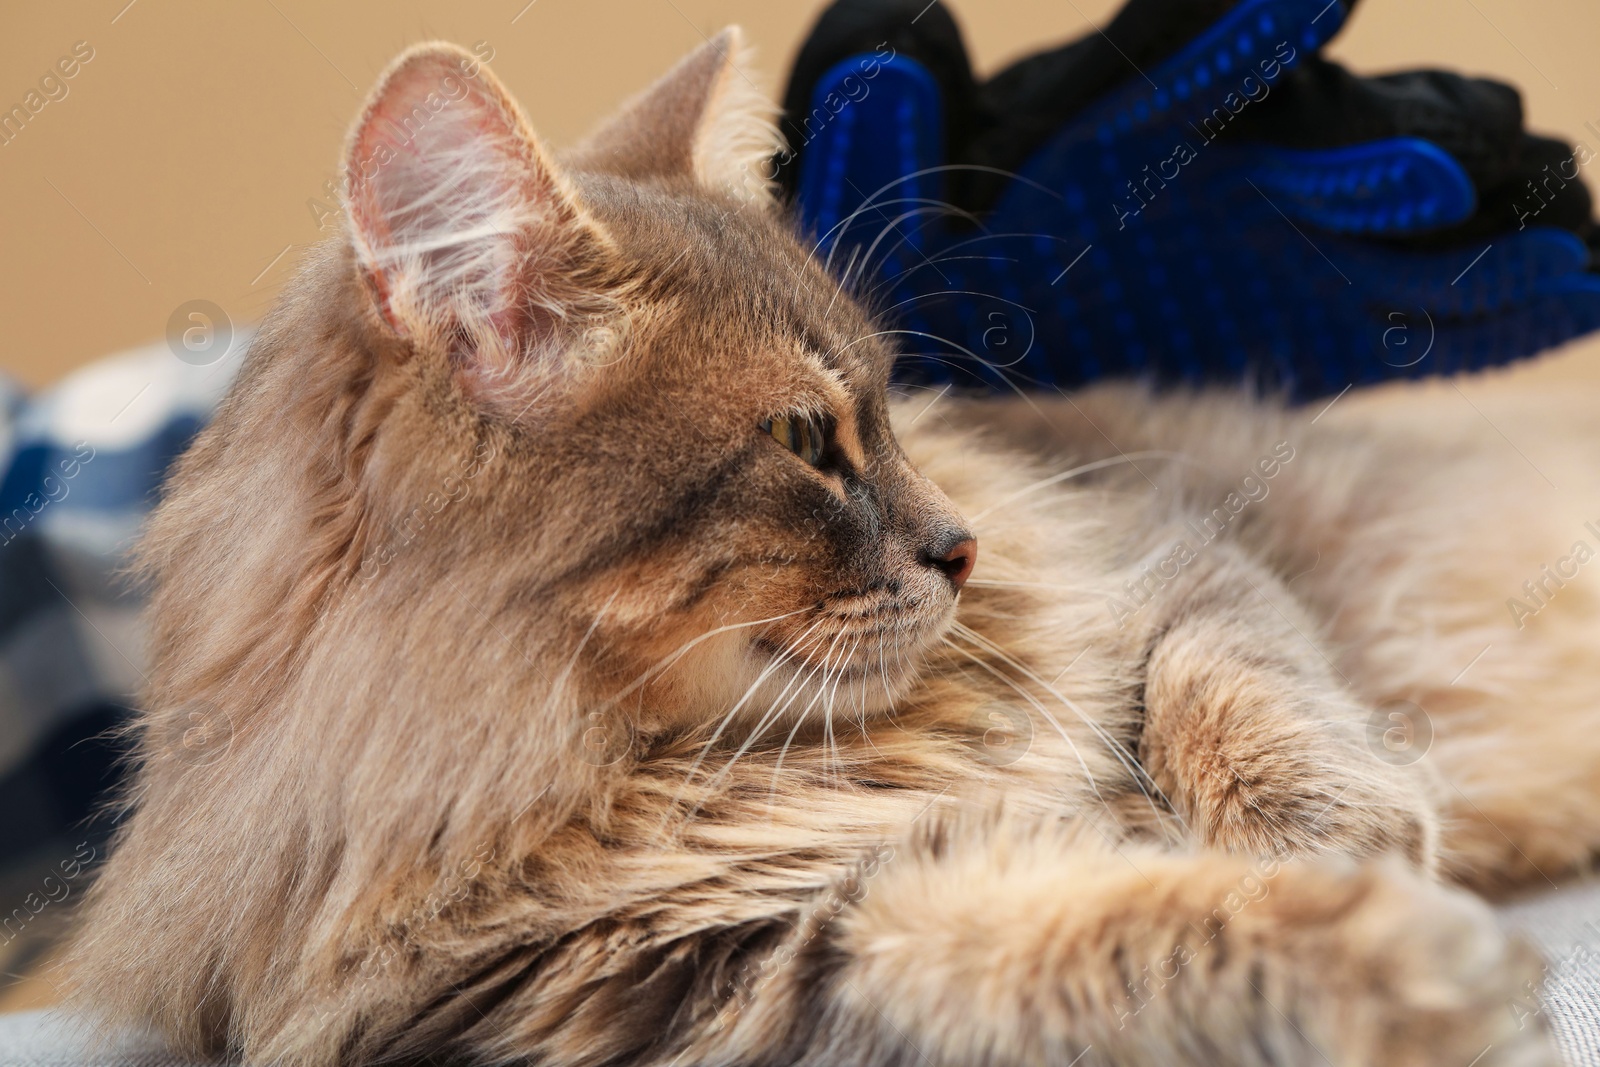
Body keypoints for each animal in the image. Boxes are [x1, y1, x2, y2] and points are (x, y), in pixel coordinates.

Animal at [65, 24, 1600, 1067]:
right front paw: (1399, 956)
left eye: (890, 410)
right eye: (808, 440)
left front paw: (1336, 846)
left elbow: (1241, 696)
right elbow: (1102, 943)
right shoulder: (725, 975)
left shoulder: (1161, 548)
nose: (961, 546)